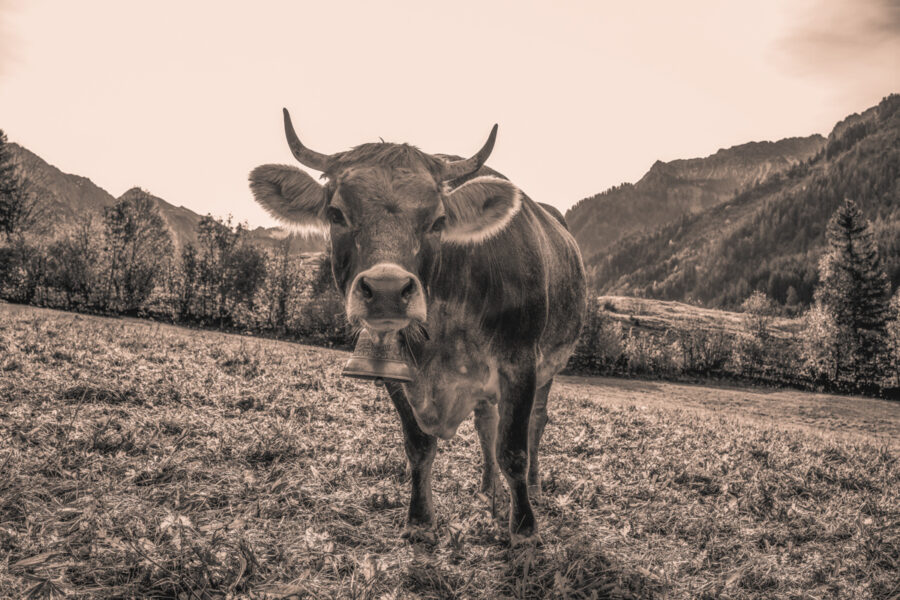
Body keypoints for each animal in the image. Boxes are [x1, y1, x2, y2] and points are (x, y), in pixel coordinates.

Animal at [248, 110, 584, 548]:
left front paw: (525, 528)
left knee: (536, 423)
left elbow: (513, 449)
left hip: (549, 367)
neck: (440, 337)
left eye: (438, 221)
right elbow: (419, 445)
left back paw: (535, 487)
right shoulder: (394, 368)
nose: (387, 289)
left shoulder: (520, 363)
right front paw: (420, 521)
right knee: (486, 423)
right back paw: (488, 488)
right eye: (336, 214)